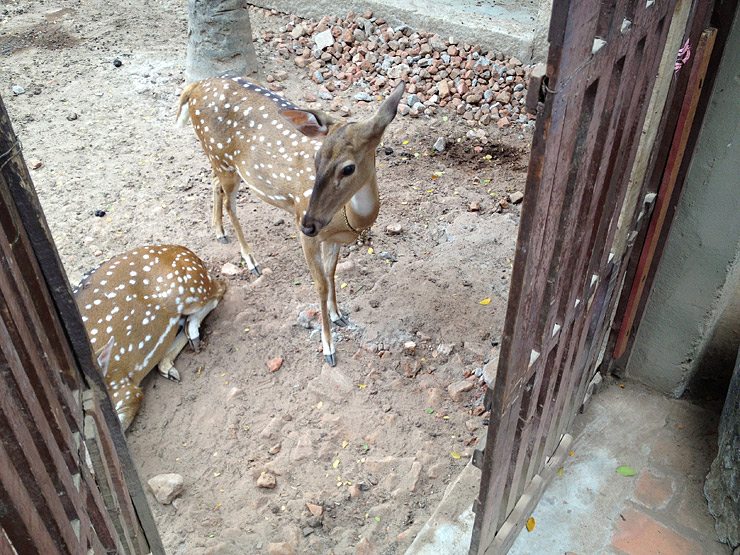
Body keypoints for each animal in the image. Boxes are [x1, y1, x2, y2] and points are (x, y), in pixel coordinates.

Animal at [74, 245, 226, 430]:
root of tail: (186, 251)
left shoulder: (124, 390)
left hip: (189, 288)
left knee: (220, 287)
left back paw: (193, 333)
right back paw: (169, 366)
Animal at [176, 76, 405, 366]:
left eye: (348, 168)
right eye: (316, 160)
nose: (309, 223)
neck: (348, 220)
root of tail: (194, 87)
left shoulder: (333, 239)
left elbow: (332, 274)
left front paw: (338, 315)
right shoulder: (305, 229)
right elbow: (320, 284)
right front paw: (328, 348)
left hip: (218, 161)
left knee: (215, 183)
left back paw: (219, 232)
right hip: (222, 158)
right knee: (229, 202)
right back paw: (251, 261)